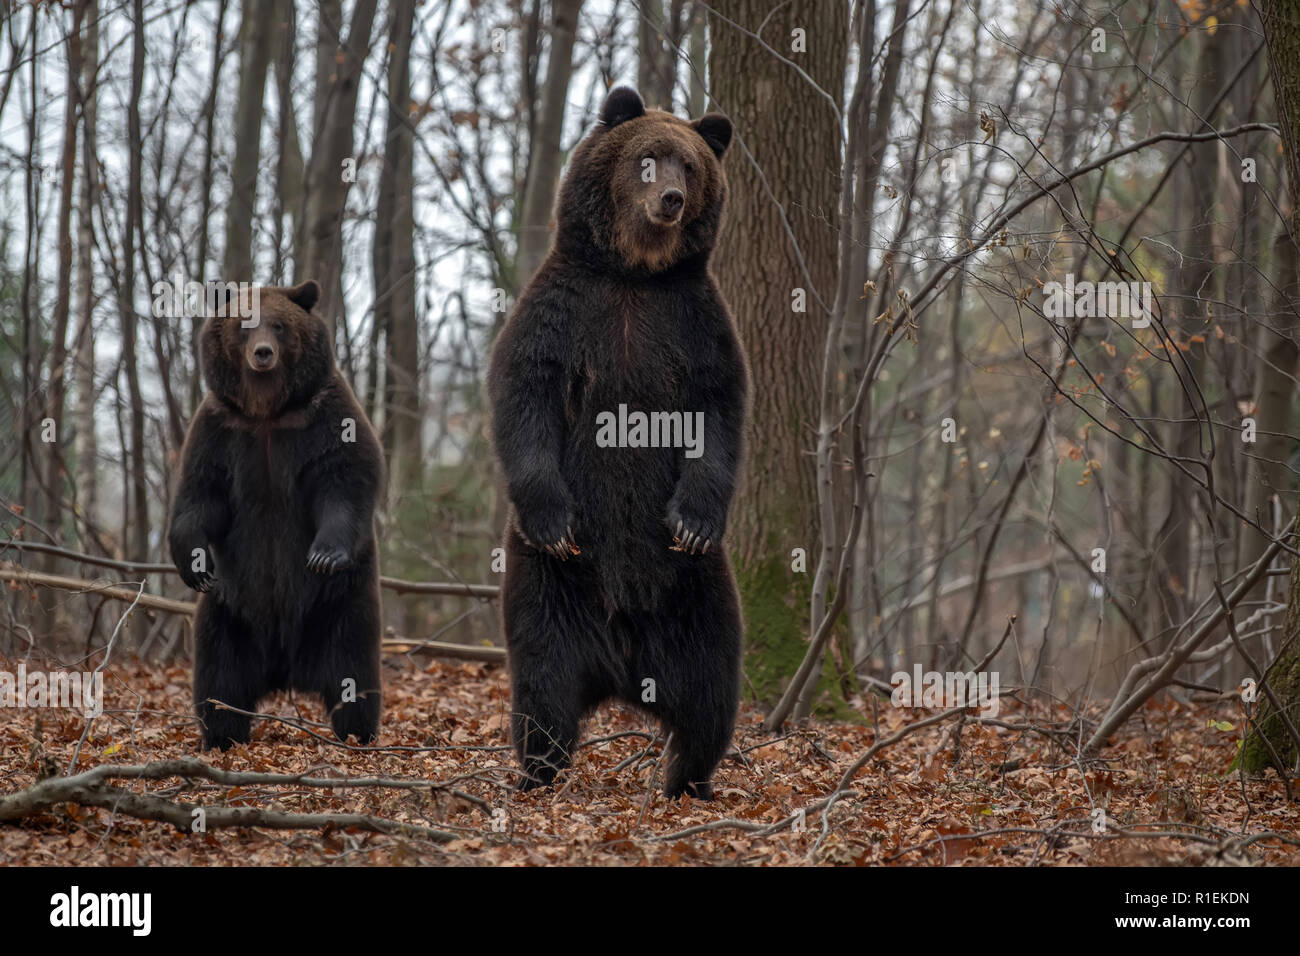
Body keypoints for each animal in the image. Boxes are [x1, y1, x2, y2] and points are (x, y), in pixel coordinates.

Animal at [166, 280, 384, 749]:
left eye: (280, 325)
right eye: (244, 324)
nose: (263, 353)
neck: (266, 411)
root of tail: (285, 672)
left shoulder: (324, 417)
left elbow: (345, 478)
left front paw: (324, 554)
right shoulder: (221, 429)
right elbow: (200, 495)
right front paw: (194, 563)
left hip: (340, 604)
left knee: (353, 669)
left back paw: (358, 733)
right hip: (230, 610)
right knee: (218, 674)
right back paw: (222, 734)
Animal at [488, 85, 748, 801]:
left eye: (690, 165)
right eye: (647, 158)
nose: (672, 199)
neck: (637, 272)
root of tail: (624, 671)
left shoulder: (693, 322)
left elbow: (718, 412)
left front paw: (693, 519)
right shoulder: (566, 309)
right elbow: (525, 394)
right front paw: (554, 519)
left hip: (697, 596)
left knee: (711, 693)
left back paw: (686, 779)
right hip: (549, 592)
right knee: (542, 690)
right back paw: (539, 776)